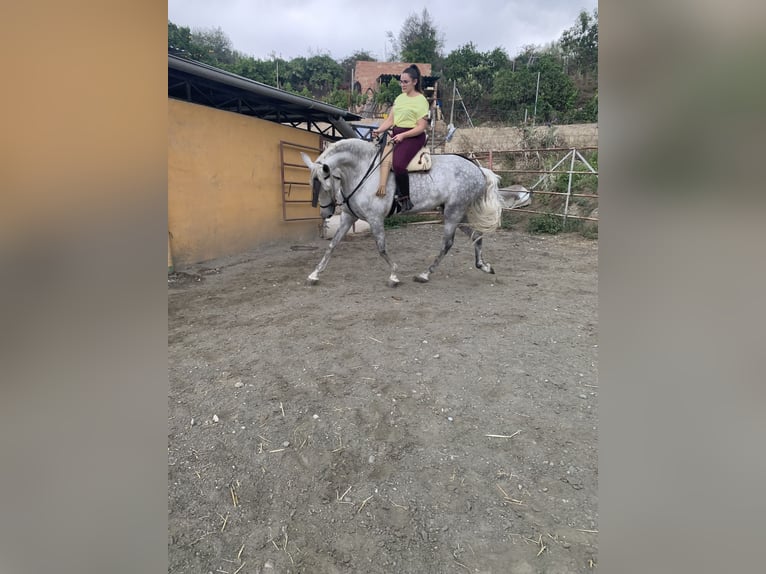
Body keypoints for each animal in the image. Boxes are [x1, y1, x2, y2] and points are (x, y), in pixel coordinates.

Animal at [304, 140, 508, 288]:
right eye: (311, 185)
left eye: (326, 185)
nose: (326, 213)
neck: (362, 172)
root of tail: (478, 169)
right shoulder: (348, 217)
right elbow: (332, 244)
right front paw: (314, 274)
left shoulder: (375, 219)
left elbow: (381, 248)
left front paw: (394, 275)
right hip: (457, 213)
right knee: (476, 235)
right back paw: (484, 266)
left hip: (453, 212)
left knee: (447, 244)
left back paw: (425, 274)